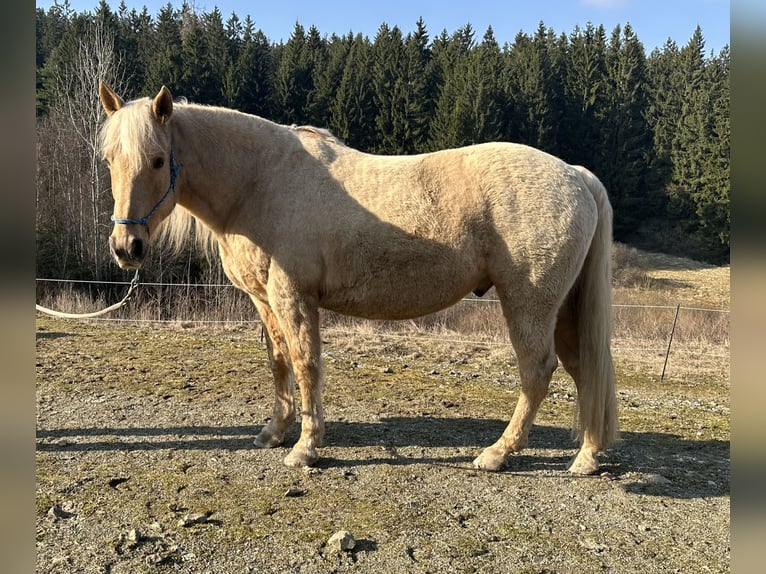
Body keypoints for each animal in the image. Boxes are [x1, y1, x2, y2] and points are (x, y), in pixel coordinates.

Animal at [98, 82, 618, 475]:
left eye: (158, 160)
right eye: (109, 160)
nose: (127, 248)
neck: (260, 181)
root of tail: (576, 174)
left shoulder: (294, 297)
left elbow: (306, 365)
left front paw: (306, 448)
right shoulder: (265, 301)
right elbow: (279, 363)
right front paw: (274, 431)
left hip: (528, 304)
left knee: (538, 371)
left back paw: (497, 453)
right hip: (562, 309)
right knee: (582, 367)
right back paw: (587, 456)